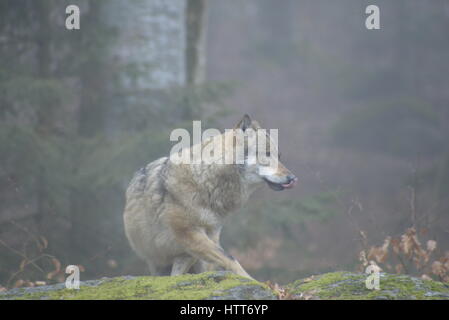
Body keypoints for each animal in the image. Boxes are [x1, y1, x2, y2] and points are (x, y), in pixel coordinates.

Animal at [123, 114, 298, 278]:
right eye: (267, 154)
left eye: (279, 157)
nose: (293, 178)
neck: (205, 180)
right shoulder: (190, 234)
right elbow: (230, 258)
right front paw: (252, 281)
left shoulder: (207, 237)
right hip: (158, 260)